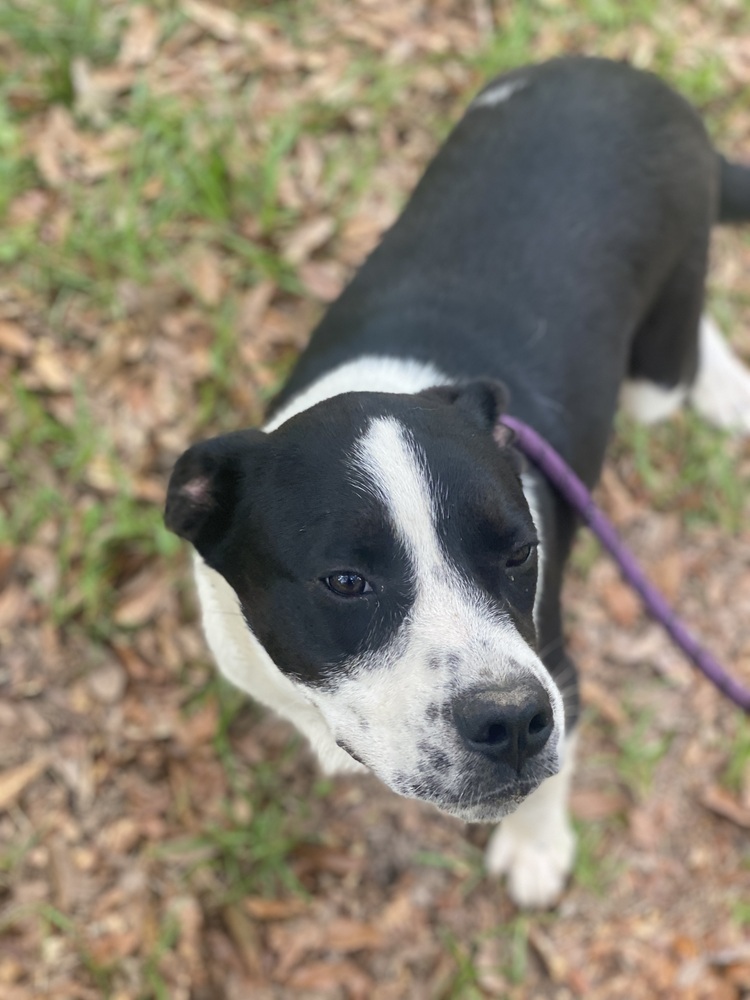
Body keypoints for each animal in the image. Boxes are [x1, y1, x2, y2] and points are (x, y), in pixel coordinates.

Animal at [164, 58, 750, 912]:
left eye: (520, 552)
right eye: (345, 581)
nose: (513, 722)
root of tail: (622, 71)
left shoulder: (560, 672)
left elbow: (552, 775)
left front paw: (536, 848)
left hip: (654, 370)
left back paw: (725, 387)